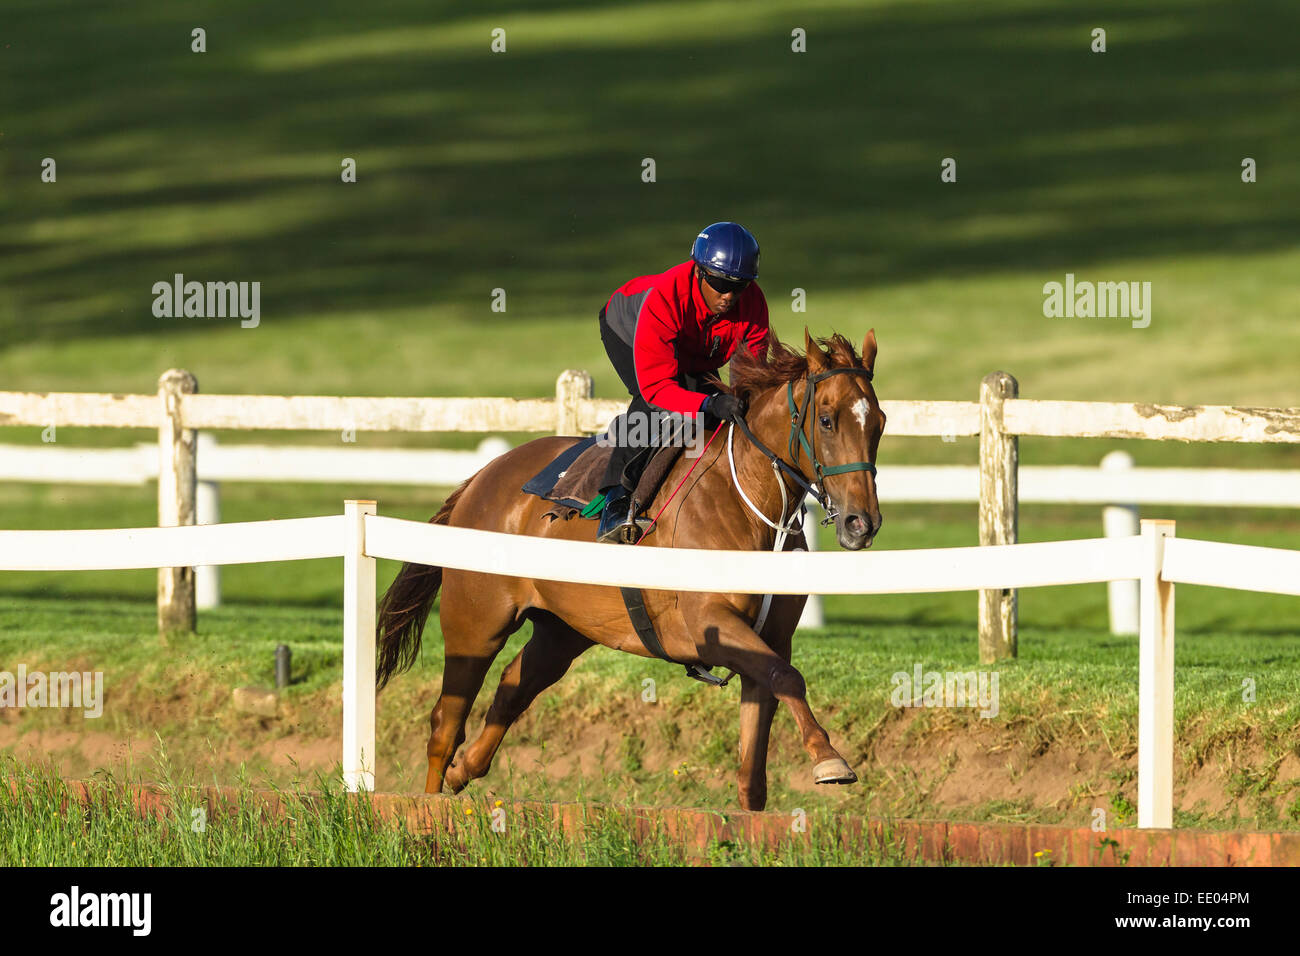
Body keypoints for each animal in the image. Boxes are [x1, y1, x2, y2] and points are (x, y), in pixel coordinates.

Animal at [375, 329, 885, 811]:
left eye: (878, 423)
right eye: (826, 419)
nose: (862, 522)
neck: (748, 502)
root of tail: (482, 477)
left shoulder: (770, 640)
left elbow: (756, 761)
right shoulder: (710, 624)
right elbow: (789, 678)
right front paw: (830, 759)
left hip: (562, 631)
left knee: (512, 689)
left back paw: (465, 771)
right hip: (476, 623)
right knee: (445, 725)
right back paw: (428, 805)